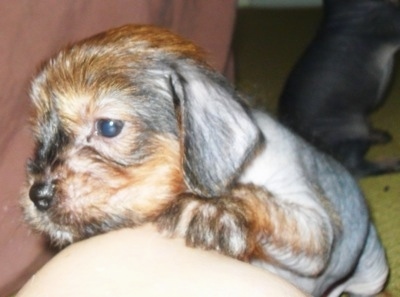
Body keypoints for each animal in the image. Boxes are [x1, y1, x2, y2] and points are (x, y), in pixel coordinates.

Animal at [21, 25, 388, 296]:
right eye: (40, 134)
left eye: (108, 127)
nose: (37, 196)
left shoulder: (315, 227)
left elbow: (274, 211)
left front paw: (213, 208)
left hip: (372, 272)